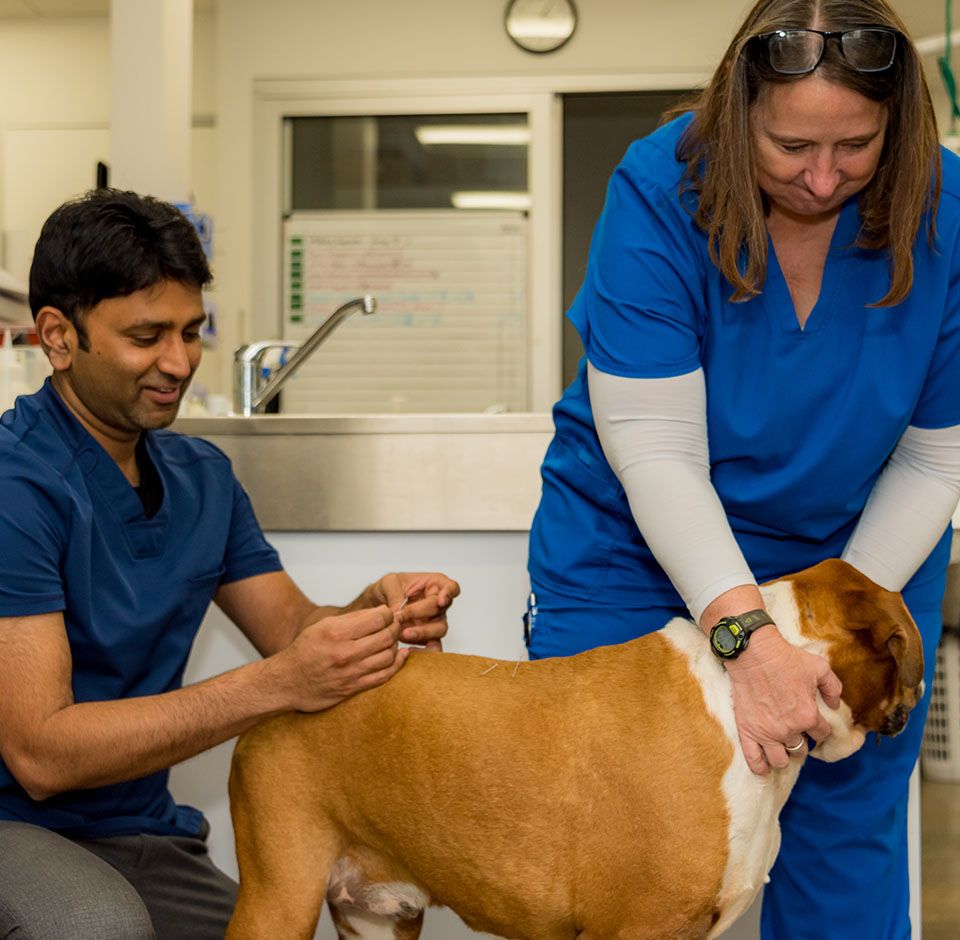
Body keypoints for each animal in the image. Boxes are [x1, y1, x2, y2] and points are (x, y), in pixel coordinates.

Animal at [223, 560, 924, 940]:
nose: (916, 699)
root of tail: (285, 675)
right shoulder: (640, 928)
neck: (737, 697)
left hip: (375, 915)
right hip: (278, 901)